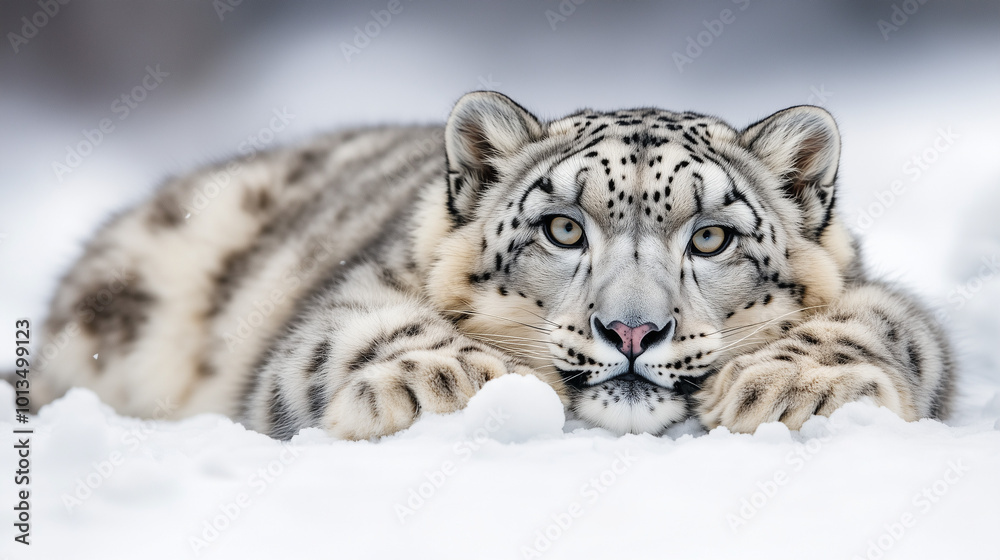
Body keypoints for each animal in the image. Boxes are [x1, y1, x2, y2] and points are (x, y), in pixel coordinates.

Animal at [31, 91, 954, 439]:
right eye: (564, 229)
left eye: (710, 239)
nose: (631, 330)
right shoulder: (347, 303)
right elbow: (345, 336)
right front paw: (451, 378)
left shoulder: (891, 308)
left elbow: (890, 328)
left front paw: (794, 386)